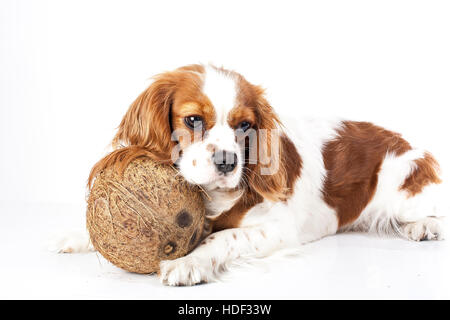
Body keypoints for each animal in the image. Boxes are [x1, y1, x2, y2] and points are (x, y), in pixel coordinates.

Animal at [55, 64, 442, 284]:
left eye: (244, 125)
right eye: (193, 119)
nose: (227, 161)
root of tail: (403, 140)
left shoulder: (278, 229)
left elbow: (221, 238)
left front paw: (189, 263)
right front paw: (77, 236)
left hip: (404, 183)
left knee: (430, 210)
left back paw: (423, 226)